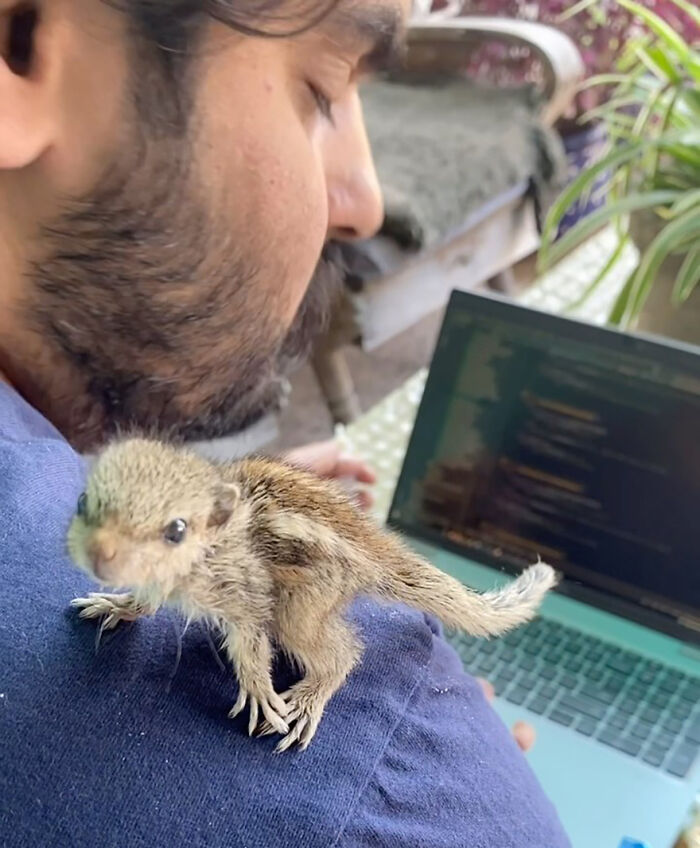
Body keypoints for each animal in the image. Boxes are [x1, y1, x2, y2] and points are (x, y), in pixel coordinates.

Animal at [67, 438, 556, 748]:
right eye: (83, 502)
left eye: (177, 530)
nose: (100, 558)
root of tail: (376, 552)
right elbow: (145, 600)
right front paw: (116, 604)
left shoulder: (248, 593)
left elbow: (252, 644)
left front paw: (259, 691)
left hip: (301, 607)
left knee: (345, 652)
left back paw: (308, 698)